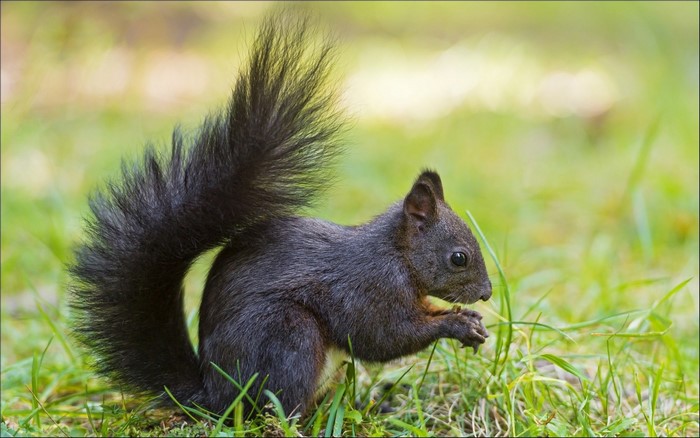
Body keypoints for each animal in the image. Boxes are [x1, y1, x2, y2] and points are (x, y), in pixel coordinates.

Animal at [69, 13, 492, 418]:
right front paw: (456, 324)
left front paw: (466, 316)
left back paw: (367, 406)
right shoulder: (368, 289)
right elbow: (384, 337)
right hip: (289, 335)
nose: (487, 293)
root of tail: (215, 396)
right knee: (280, 408)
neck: (397, 255)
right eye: (459, 258)